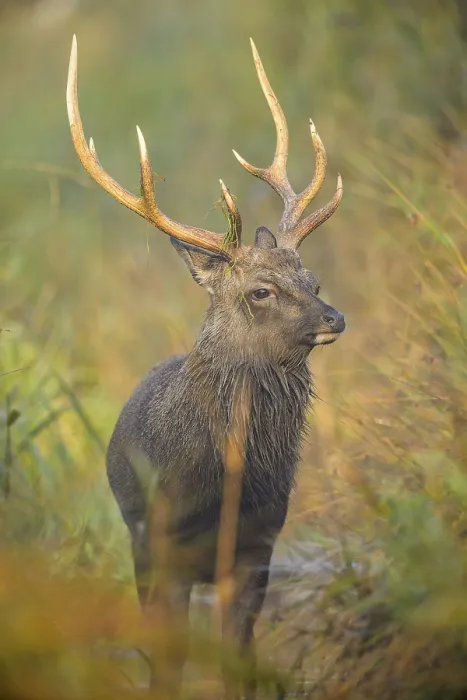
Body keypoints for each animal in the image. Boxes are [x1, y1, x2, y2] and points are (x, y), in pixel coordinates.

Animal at [66, 35, 345, 699]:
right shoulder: (162, 545)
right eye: (261, 291)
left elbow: (239, 660)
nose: (335, 317)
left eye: (313, 280)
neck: (219, 483)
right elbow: (165, 662)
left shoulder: (257, 547)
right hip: (138, 539)